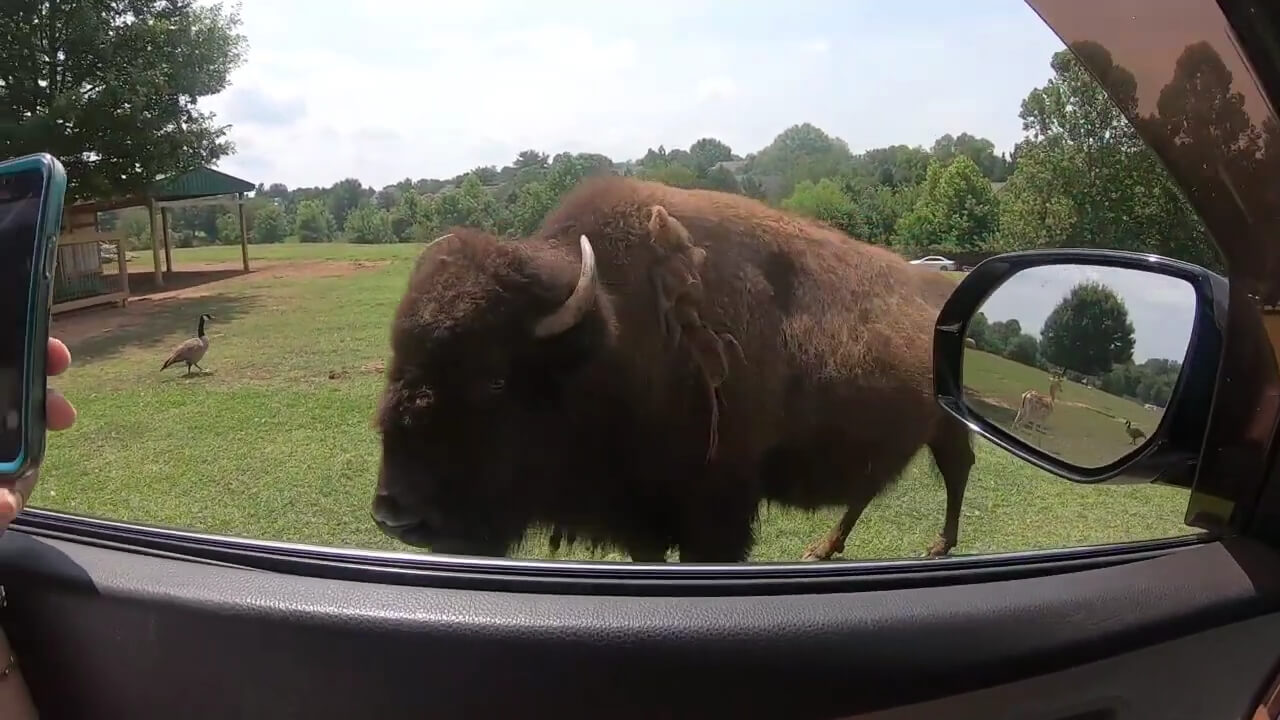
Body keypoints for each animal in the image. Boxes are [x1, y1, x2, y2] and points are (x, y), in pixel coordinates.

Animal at [371, 174, 967, 561]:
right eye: (397, 366)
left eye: (494, 379)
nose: (395, 515)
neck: (610, 333)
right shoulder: (641, 514)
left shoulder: (716, 510)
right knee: (871, 488)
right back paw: (824, 548)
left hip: (948, 423)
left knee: (954, 472)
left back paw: (936, 546)